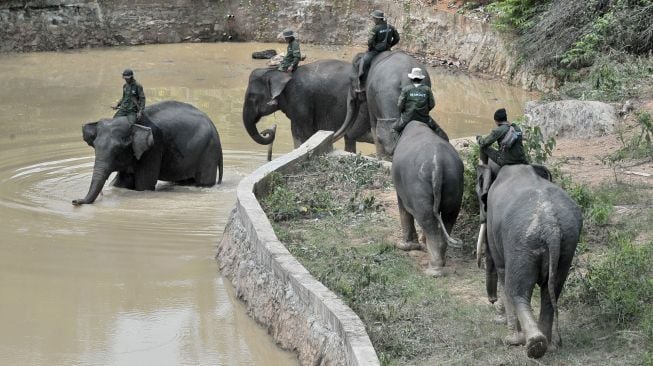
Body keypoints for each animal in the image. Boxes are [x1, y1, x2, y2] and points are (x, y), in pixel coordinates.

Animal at [73, 100, 223, 206]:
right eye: (95, 147)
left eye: (117, 150)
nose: (75, 201)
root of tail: (214, 127)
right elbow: (120, 182)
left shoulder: (153, 148)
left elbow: (144, 186)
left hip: (208, 150)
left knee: (203, 182)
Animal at [241, 59, 372, 152]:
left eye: (252, 97)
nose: (266, 131)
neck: (279, 73)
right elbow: (296, 133)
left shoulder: (300, 98)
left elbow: (307, 132)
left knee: (350, 137)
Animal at [390, 121, 460, 276]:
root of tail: (438, 164)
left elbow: (403, 207)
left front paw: (404, 246)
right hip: (453, 183)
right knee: (449, 216)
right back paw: (441, 261)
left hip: (418, 186)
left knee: (426, 218)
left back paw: (433, 271)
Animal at [476, 164, 584, 358]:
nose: (492, 301)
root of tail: (551, 227)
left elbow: (503, 272)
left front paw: (512, 340)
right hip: (568, 243)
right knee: (551, 291)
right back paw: (548, 345)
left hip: (522, 243)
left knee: (517, 289)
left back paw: (531, 344)